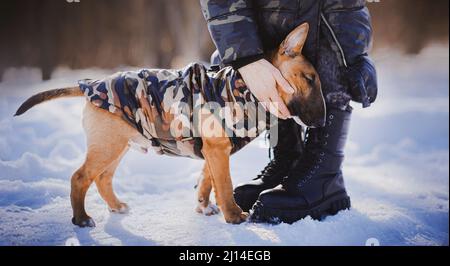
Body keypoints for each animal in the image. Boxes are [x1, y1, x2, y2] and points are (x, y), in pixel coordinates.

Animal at [14, 23, 324, 227]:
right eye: (309, 79)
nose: (322, 121)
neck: (246, 87)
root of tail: (92, 83)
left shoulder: (214, 150)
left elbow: (207, 180)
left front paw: (203, 207)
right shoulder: (218, 149)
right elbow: (224, 184)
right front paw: (234, 215)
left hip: (119, 144)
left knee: (102, 178)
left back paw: (116, 207)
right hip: (108, 144)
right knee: (80, 177)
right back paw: (81, 219)